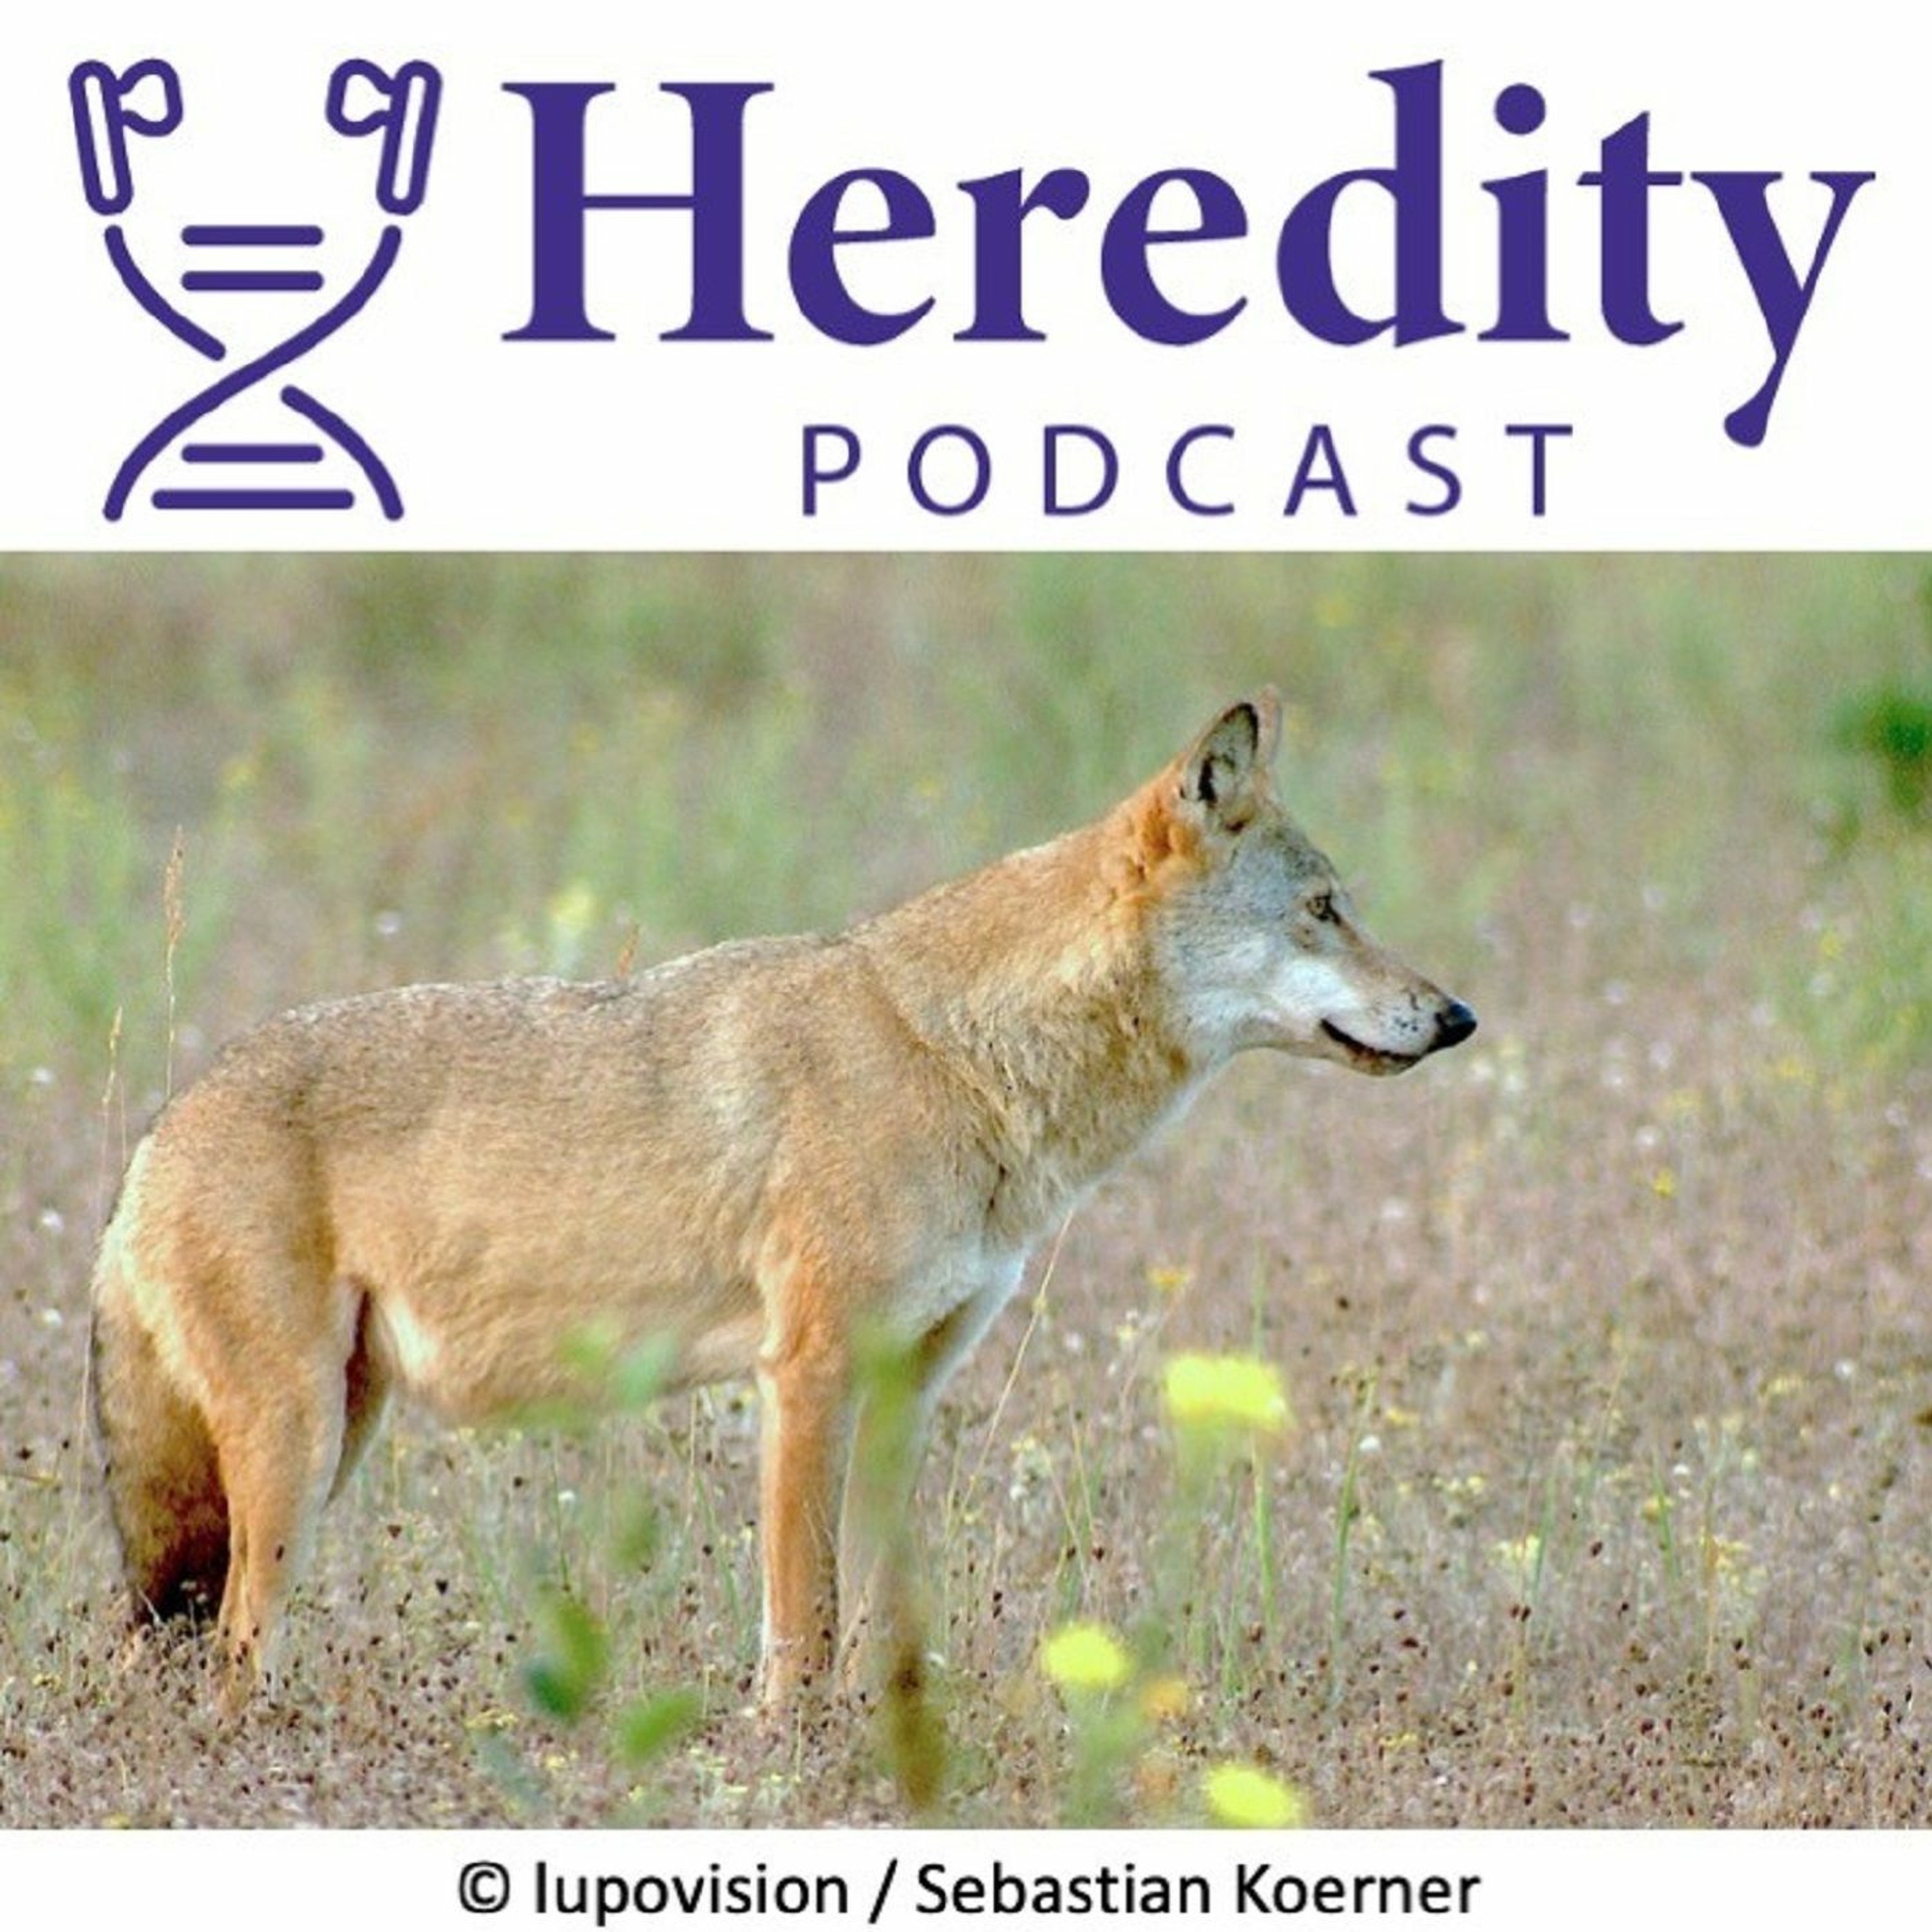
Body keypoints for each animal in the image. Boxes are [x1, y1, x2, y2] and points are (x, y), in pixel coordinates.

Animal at [90, 691, 1474, 1711]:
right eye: (1325, 910)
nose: (1457, 1016)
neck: (949, 1057)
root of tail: (156, 1134)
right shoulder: (804, 1376)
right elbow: (801, 1625)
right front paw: (787, 1761)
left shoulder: (908, 1392)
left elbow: (882, 1626)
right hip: (297, 1458)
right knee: (233, 1659)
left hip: (334, 1441)